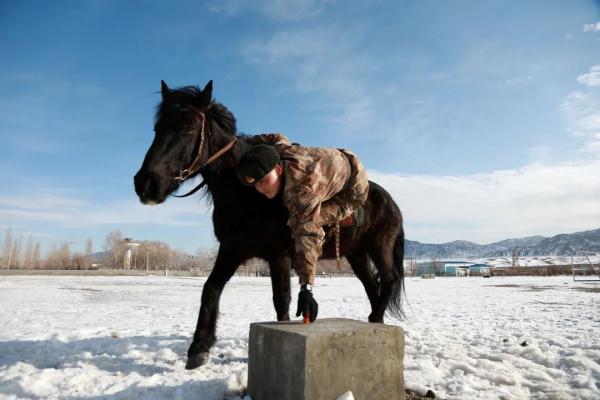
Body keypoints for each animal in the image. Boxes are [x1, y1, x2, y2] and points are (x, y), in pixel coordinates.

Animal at [134, 80, 406, 368]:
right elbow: (211, 288)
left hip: (380, 247)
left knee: (389, 278)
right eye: (157, 128)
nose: (145, 184)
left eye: (188, 128)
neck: (250, 196)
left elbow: (282, 299)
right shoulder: (232, 249)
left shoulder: (280, 255)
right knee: (373, 285)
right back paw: (375, 323)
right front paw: (198, 348)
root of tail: (390, 201)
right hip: (357, 255)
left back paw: (375, 321)